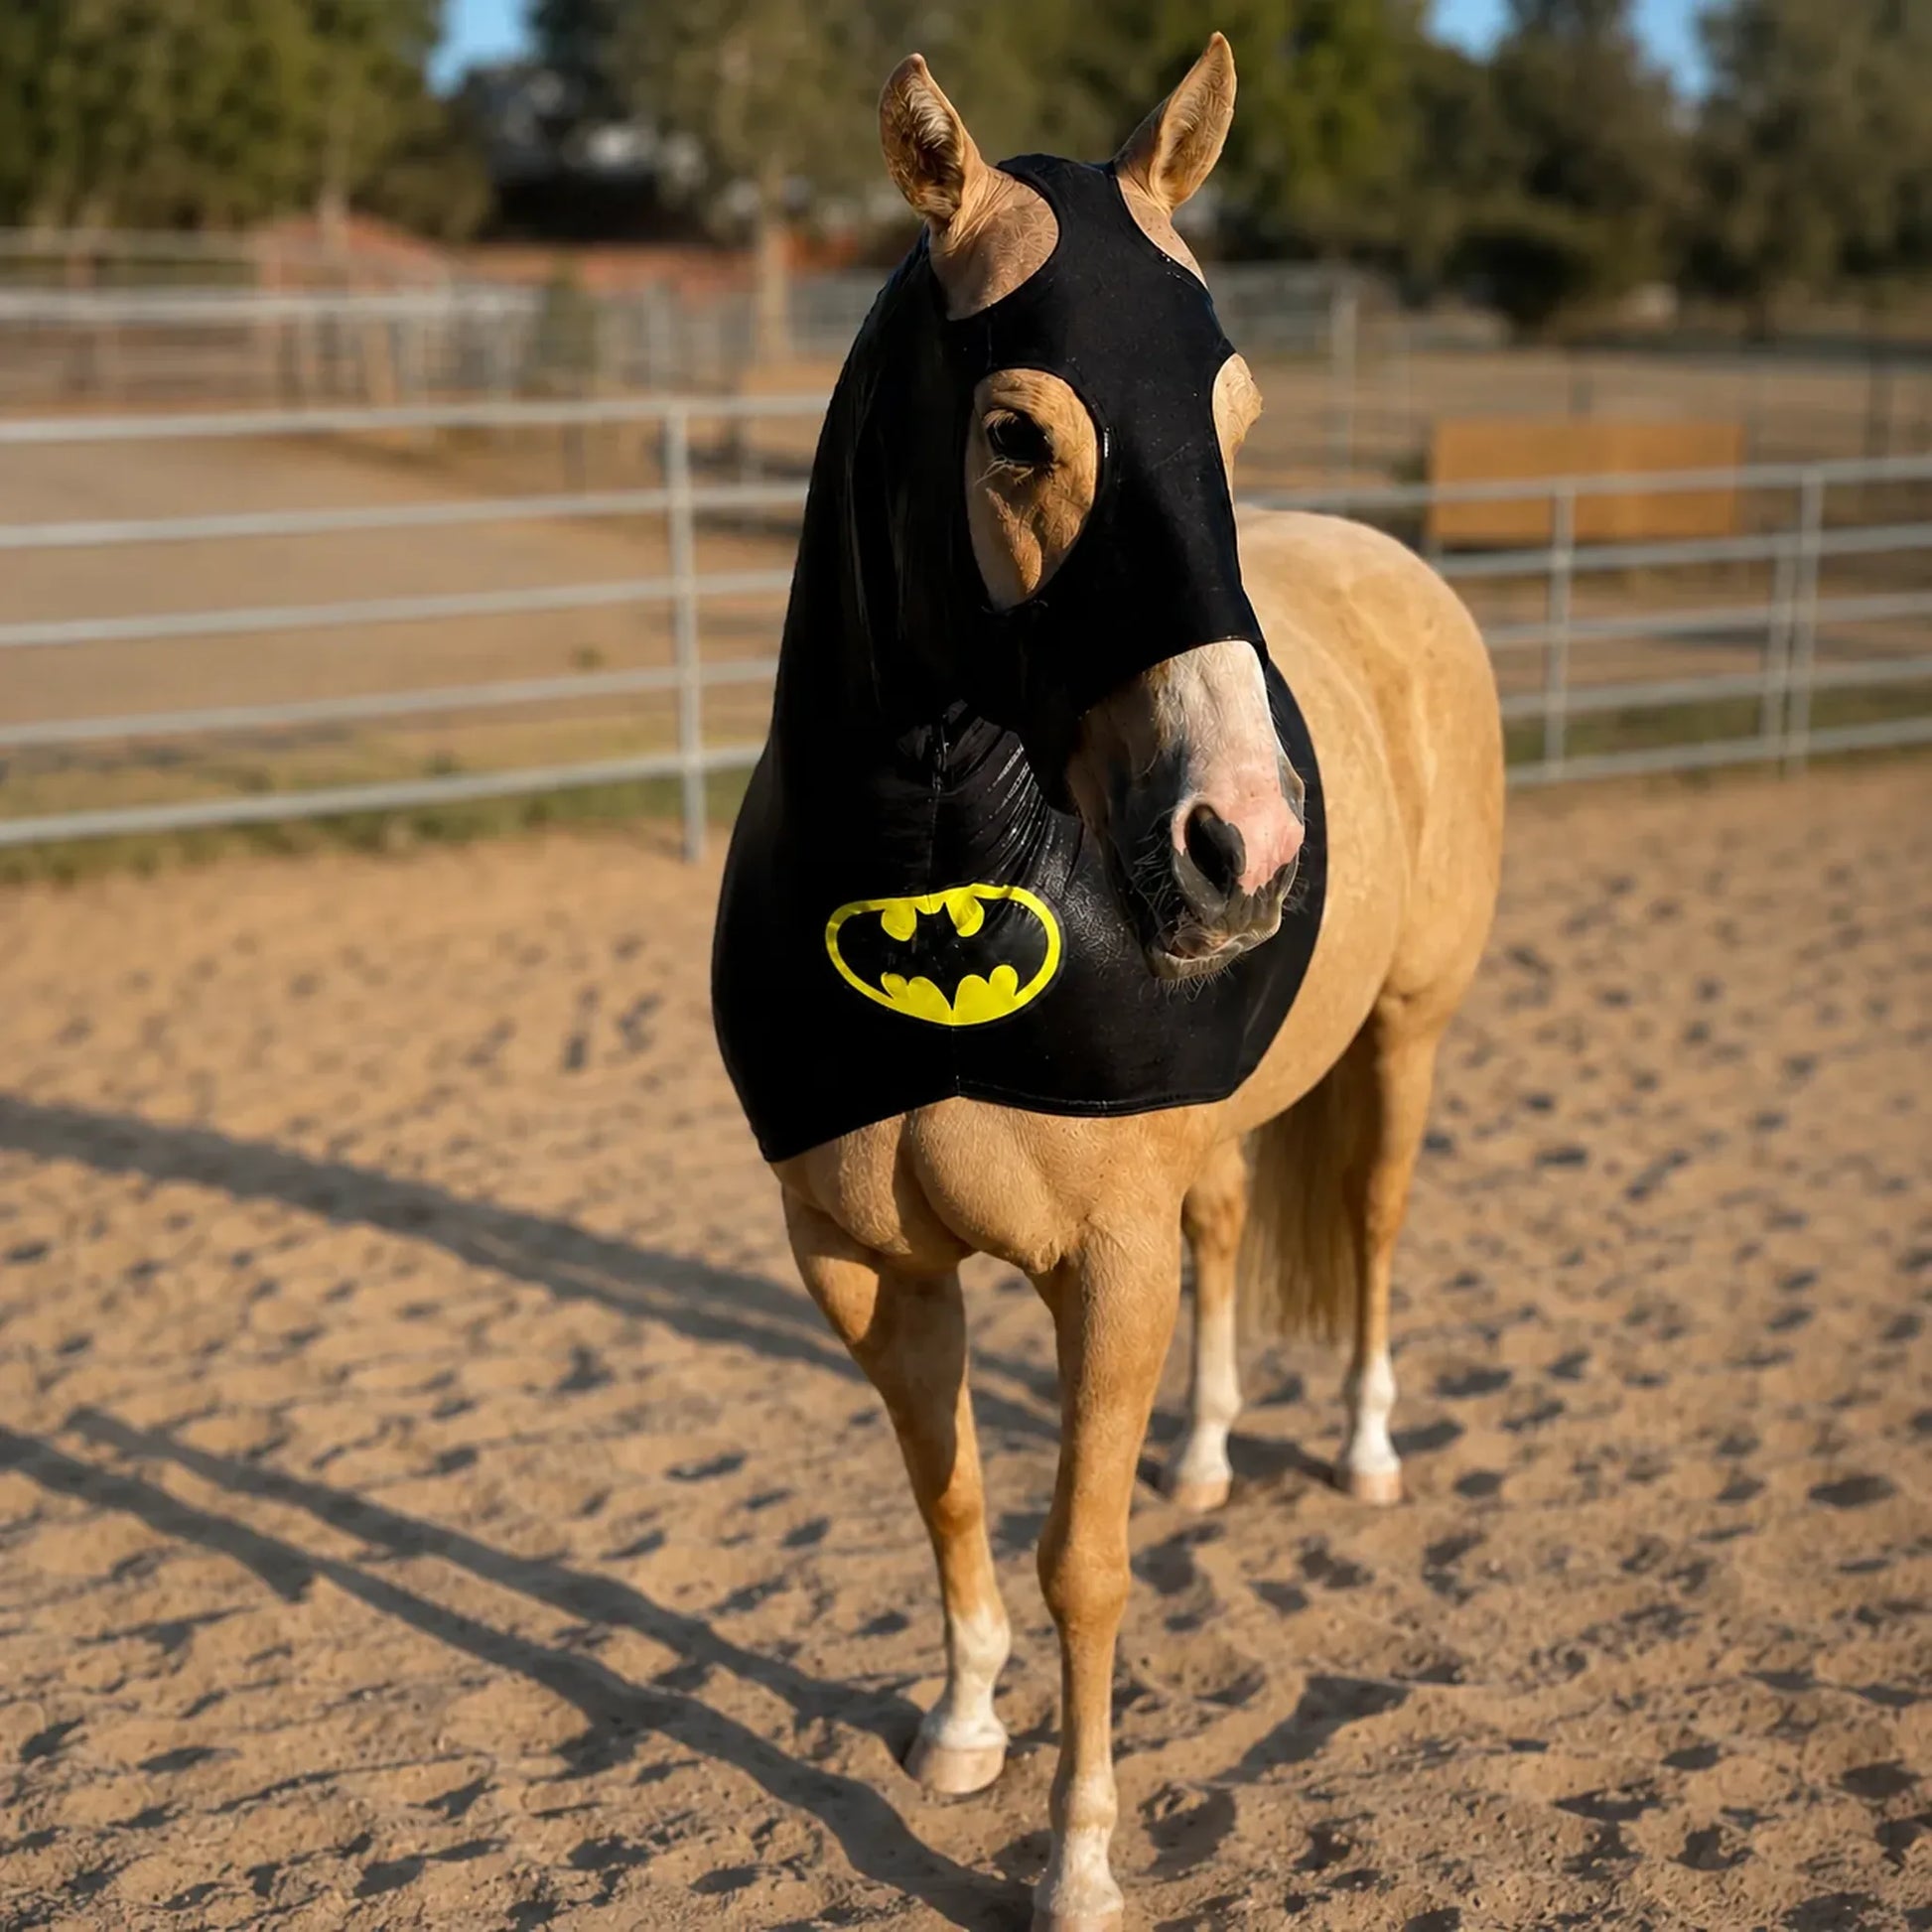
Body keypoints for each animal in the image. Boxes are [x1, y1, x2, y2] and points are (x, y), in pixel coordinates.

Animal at [711, 34, 1504, 1930]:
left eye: (1231, 421)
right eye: (1014, 431)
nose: (1246, 843)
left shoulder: (1105, 1265)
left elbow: (1084, 1557)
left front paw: (1075, 1857)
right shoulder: (858, 1260)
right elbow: (946, 1496)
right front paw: (958, 1730)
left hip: (1406, 1038)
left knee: (1369, 1222)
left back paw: (1361, 1450)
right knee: (1234, 1226)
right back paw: (1212, 1451)